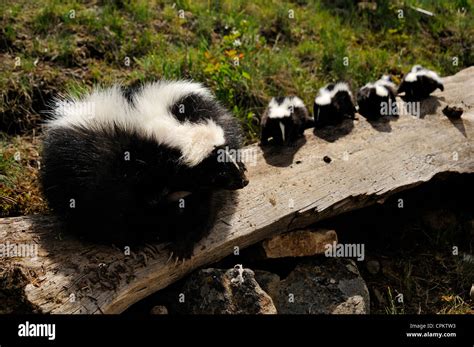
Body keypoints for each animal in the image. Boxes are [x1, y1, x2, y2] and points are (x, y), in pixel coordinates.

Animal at [41, 81, 248, 260]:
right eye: (219, 172)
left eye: (229, 158)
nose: (243, 180)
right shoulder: (111, 176)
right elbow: (113, 213)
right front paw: (138, 247)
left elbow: (203, 208)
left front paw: (181, 246)